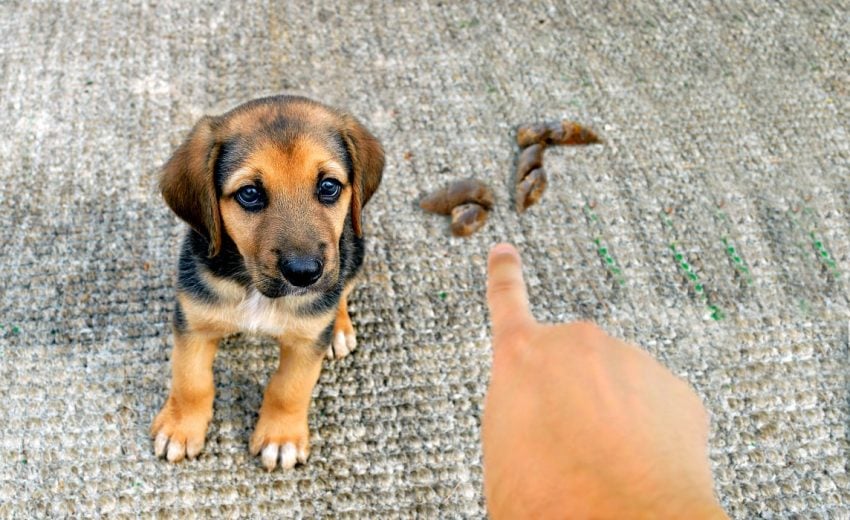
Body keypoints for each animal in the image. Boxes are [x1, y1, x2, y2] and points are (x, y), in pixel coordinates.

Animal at [152, 95, 384, 470]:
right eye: (249, 193)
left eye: (329, 187)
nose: (304, 273)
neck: (254, 289)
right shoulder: (193, 323)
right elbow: (190, 381)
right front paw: (180, 428)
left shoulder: (305, 342)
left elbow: (289, 389)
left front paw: (280, 437)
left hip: (354, 252)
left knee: (343, 291)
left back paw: (338, 329)